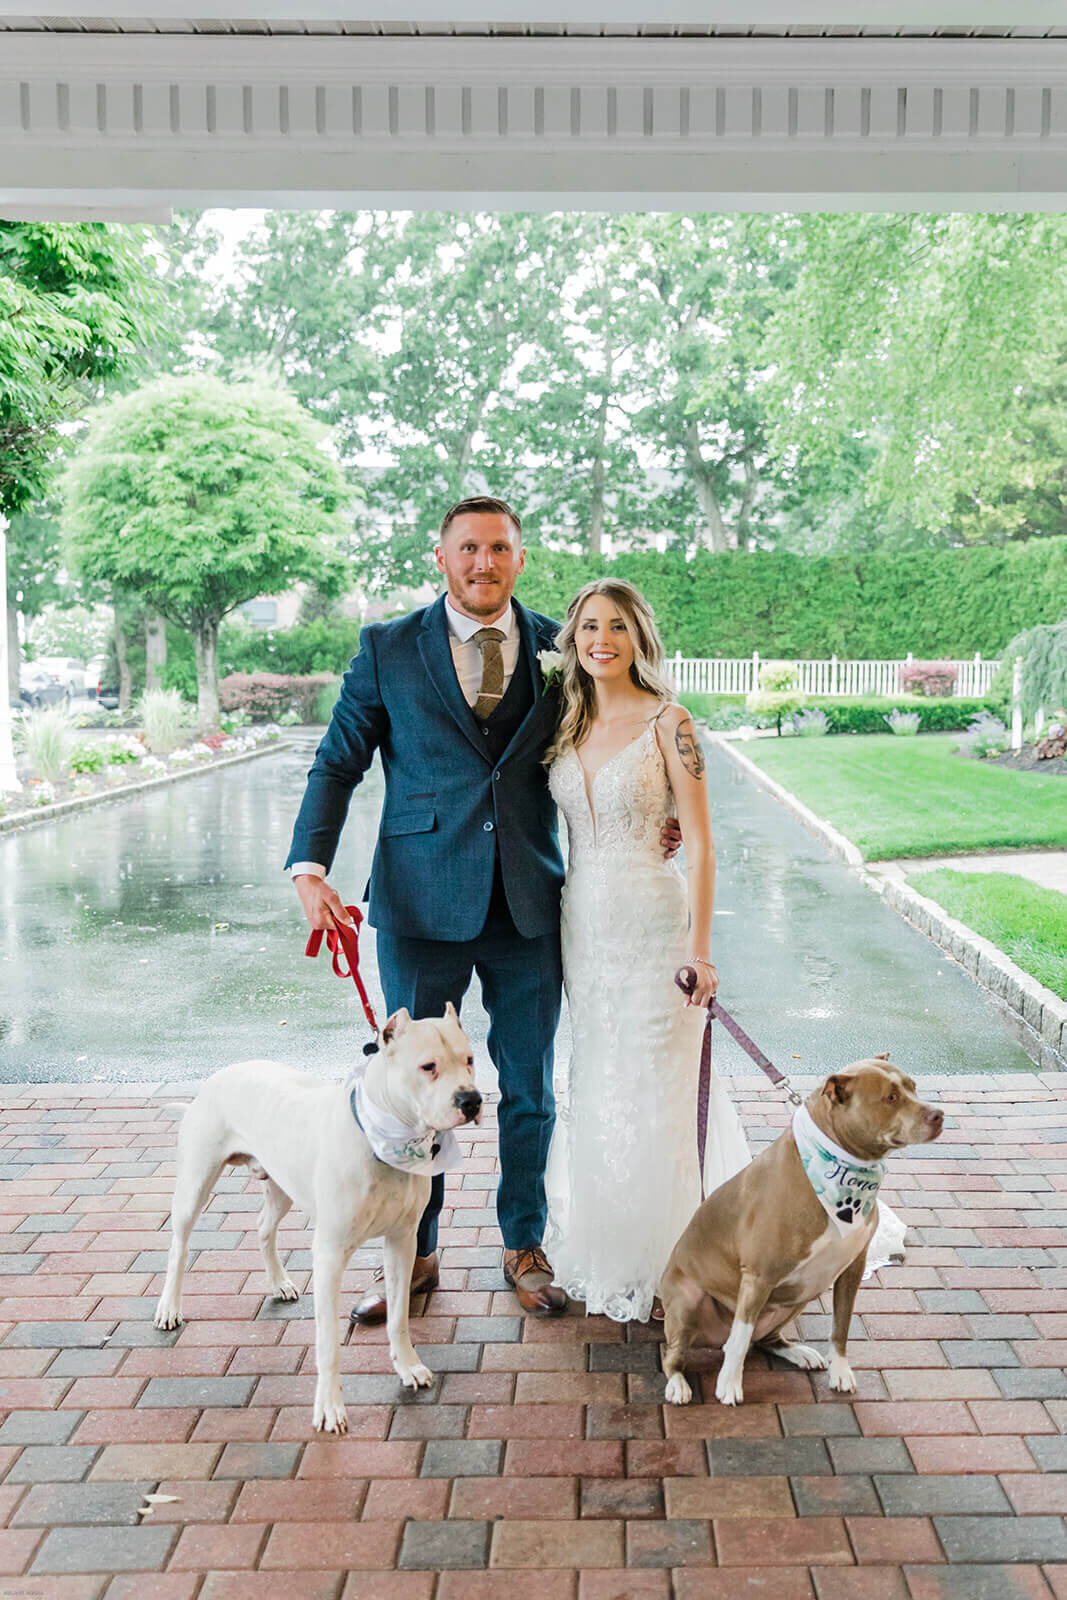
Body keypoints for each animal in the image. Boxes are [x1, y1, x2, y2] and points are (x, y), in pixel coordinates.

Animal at [153, 1004, 479, 1433]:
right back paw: (168, 1308)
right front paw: (329, 1407)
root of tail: (217, 1077)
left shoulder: (402, 1241)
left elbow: (398, 1317)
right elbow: (328, 1343)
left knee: (263, 1229)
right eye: (428, 1066)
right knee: (178, 1246)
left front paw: (407, 1366)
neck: (383, 1137)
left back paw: (279, 1283)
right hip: (194, 1185)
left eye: (470, 1060)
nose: (472, 1100)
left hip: (280, 1185)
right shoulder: (330, 1255)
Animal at [659, 1056, 940, 1408]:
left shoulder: (852, 1268)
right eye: (890, 1097)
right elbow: (739, 1340)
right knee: (677, 1352)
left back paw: (798, 1352)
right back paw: (678, 1384)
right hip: (688, 1300)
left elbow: (841, 1325)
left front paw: (840, 1371)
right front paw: (728, 1384)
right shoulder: (759, 1275)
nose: (939, 1114)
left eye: (913, 1087)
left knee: (764, 1339)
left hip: (801, 1293)